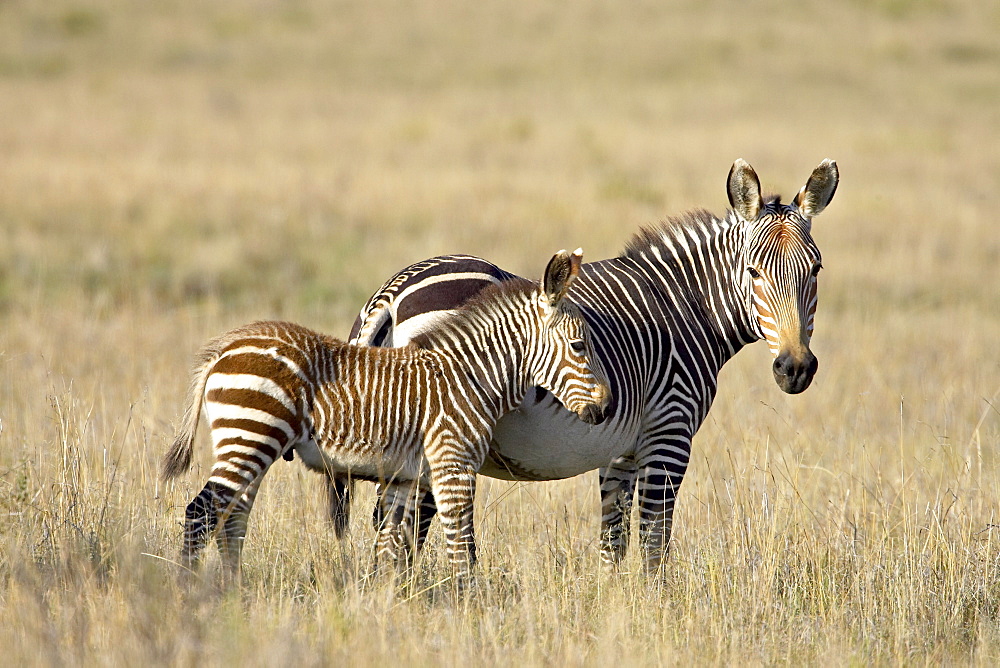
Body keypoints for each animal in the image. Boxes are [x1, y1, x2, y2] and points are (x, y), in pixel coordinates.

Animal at [162, 249, 608, 584]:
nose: (604, 410)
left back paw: (232, 594)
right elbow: (459, 544)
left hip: (249, 444)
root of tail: (225, 347)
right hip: (251, 435)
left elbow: (394, 544)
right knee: (200, 513)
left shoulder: (407, 475)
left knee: (231, 518)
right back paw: (188, 593)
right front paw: (467, 605)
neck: (471, 374)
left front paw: (390, 604)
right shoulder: (453, 464)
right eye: (580, 346)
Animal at [342, 158, 836, 576]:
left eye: (815, 270)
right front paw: (656, 612)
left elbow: (612, 541)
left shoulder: (620, 448)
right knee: (402, 533)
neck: (684, 305)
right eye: (753, 272)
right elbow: (654, 543)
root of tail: (392, 293)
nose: (794, 368)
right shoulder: (670, 431)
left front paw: (614, 607)